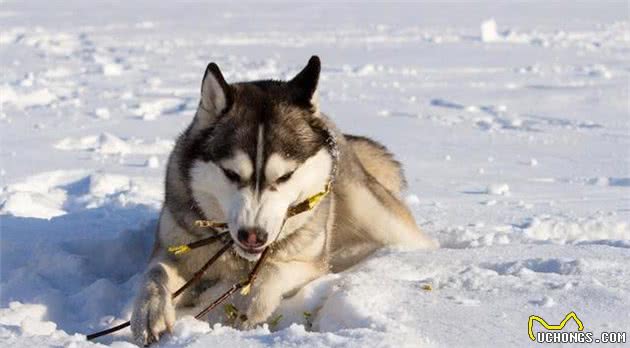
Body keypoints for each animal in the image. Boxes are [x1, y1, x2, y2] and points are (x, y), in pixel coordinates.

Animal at [132, 55, 440, 344]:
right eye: (231, 174)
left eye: (285, 176)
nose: (252, 235)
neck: (238, 257)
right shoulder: (173, 246)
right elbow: (155, 273)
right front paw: (150, 311)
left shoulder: (313, 264)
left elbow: (274, 269)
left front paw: (246, 303)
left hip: (375, 214)